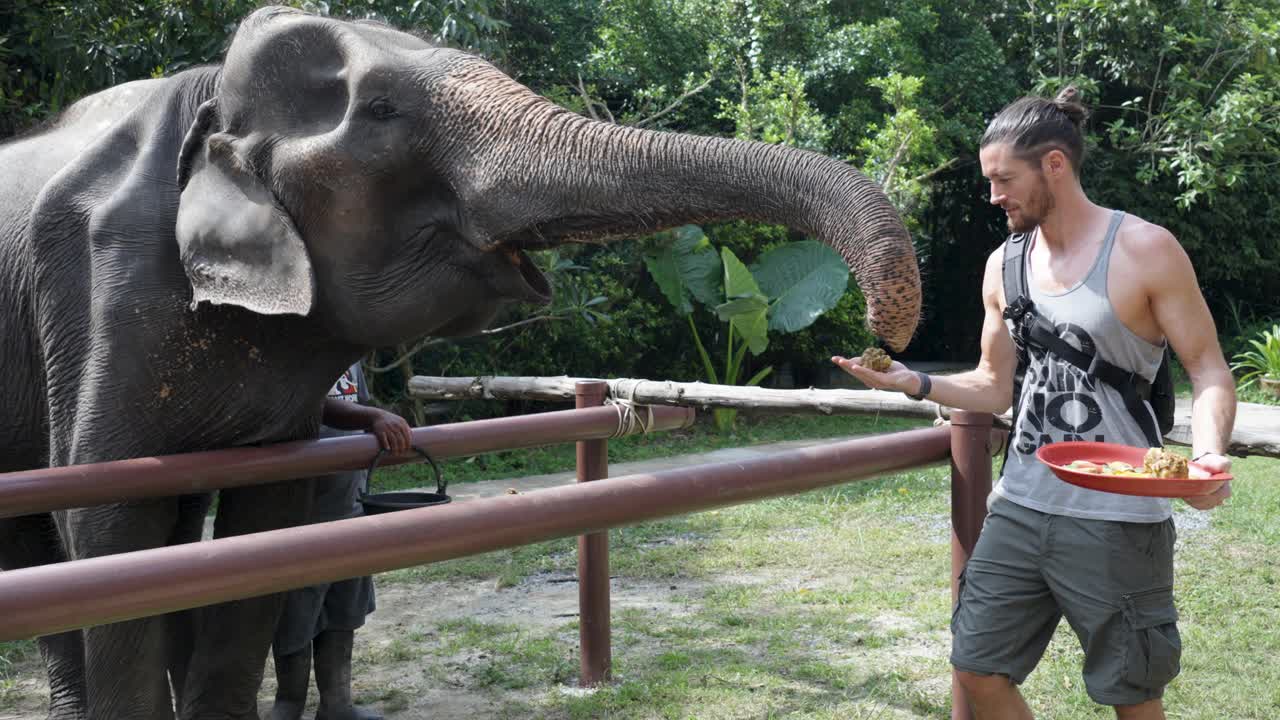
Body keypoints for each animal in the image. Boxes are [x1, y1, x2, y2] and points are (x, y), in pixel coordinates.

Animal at [0, 6, 921, 719]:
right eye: (382, 109)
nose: (882, 337)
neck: (205, 92)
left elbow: (263, 528)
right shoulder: (99, 291)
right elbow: (106, 527)